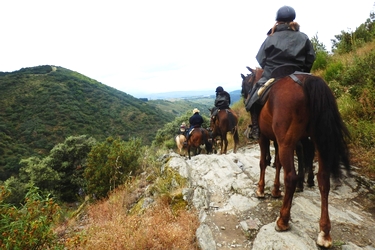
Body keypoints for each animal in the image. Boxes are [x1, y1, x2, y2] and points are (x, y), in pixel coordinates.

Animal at [242, 66, 352, 248]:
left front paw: (261, 190)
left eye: (245, 83)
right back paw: (324, 233)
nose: (244, 97)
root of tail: (309, 81)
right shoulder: (278, 141)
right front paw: (275, 190)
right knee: (323, 180)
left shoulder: (265, 138)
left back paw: (283, 220)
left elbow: (263, 163)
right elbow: (278, 163)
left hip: (288, 142)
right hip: (318, 140)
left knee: (291, 177)